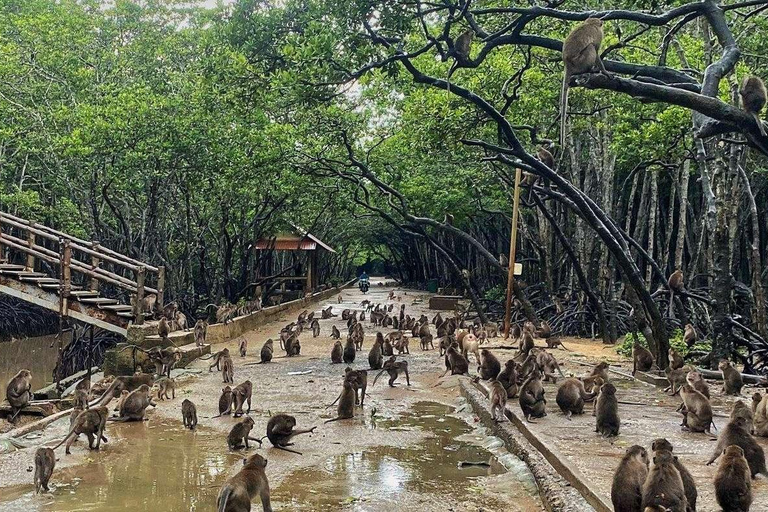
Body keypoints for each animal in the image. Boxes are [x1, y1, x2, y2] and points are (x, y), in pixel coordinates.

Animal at [560, 17, 608, 145]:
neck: (590, 23)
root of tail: (568, 64)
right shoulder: (598, 34)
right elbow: (596, 51)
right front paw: (605, 71)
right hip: (580, 62)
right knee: (590, 47)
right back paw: (590, 69)